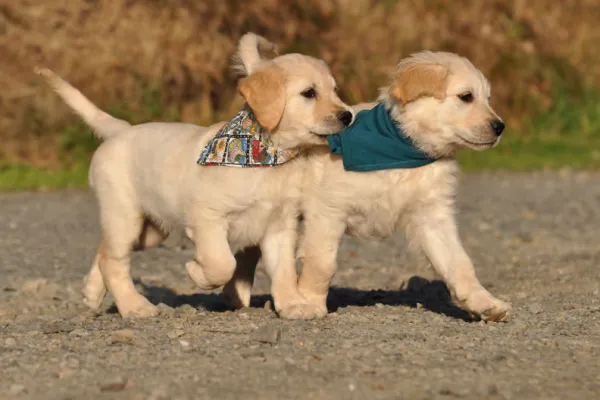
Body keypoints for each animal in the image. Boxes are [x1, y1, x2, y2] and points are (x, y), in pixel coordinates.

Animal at [35, 32, 354, 318]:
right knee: (114, 262)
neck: (268, 155)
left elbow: (284, 270)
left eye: (335, 90)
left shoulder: (280, 225)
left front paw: (293, 305)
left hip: (149, 231)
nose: (347, 116)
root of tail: (121, 129)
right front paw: (196, 272)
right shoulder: (208, 220)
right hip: (123, 214)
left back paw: (92, 292)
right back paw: (135, 307)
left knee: (104, 252)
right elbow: (222, 263)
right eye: (309, 93)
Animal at [225, 51, 510, 324]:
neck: (401, 149)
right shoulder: (328, 210)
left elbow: (459, 263)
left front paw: (485, 304)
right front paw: (308, 302)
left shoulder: (432, 216)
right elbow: (321, 263)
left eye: (487, 98)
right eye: (466, 97)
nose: (500, 127)